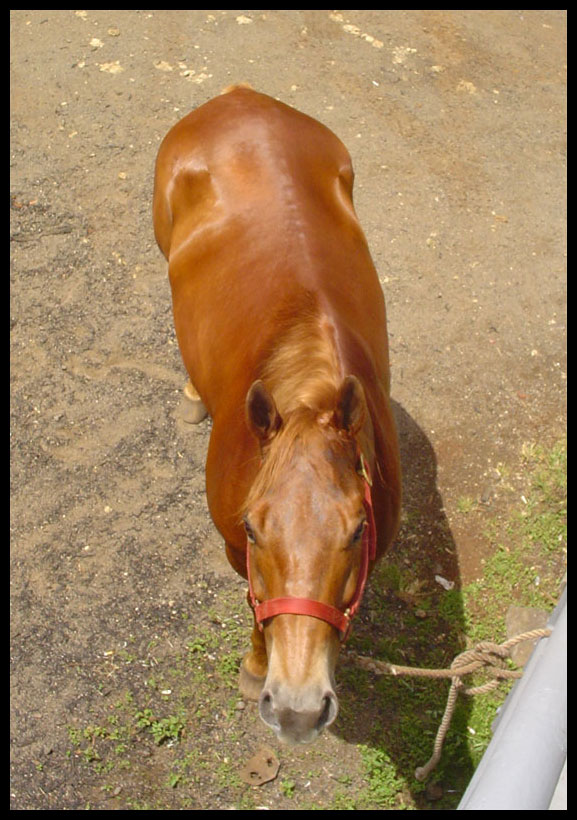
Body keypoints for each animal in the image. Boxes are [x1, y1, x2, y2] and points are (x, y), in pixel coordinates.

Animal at [152, 88, 400, 744]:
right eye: (253, 528)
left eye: (357, 531)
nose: (297, 708)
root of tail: (239, 97)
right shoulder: (238, 552)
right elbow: (254, 606)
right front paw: (255, 667)